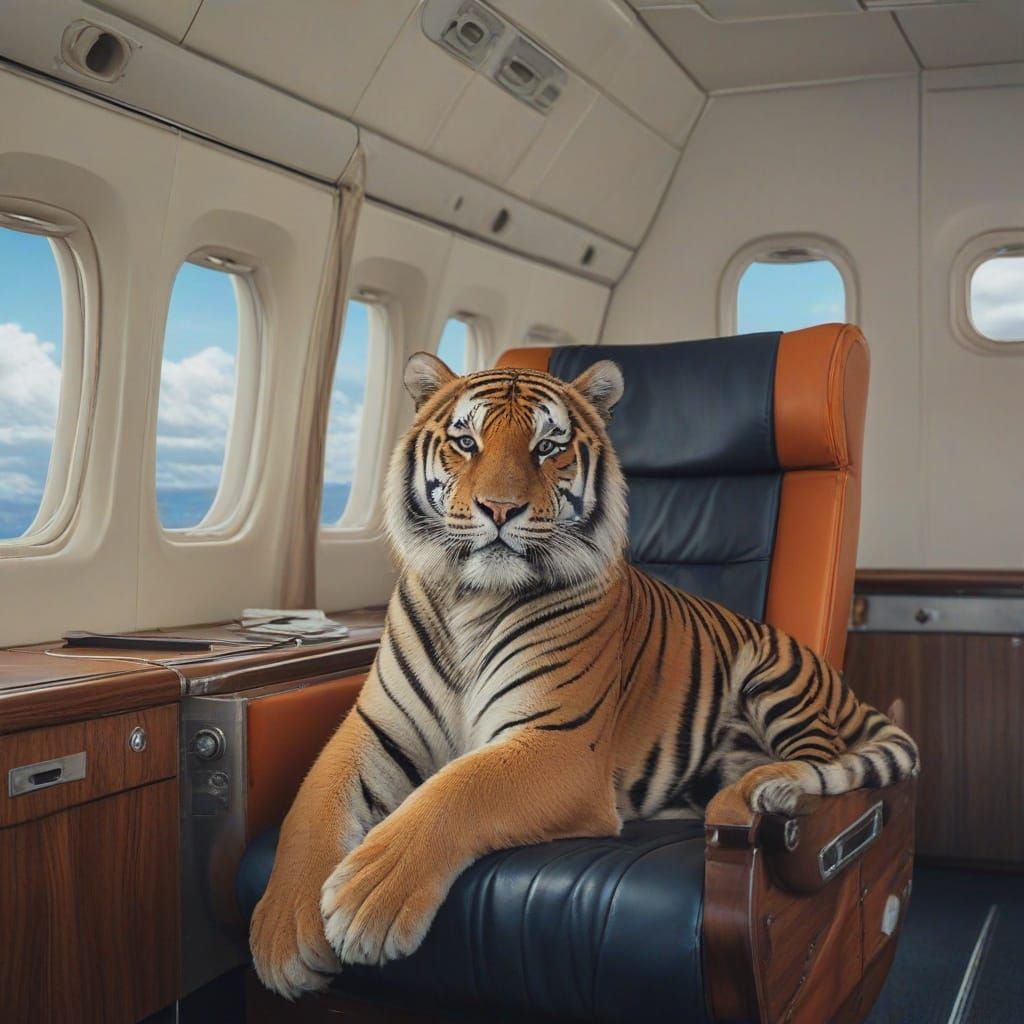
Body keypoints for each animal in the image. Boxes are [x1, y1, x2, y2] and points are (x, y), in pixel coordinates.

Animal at [250, 352, 920, 999]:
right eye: (466, 442)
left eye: (548, 446)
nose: (500, 509)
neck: (472, 599)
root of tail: (844, 688)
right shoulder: (375, 728)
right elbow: (311, 803)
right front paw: (283, 933)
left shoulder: (559, 742)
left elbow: (459, 789)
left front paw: (369, 898)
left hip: (773, 675)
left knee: (816, 765)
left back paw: (766, 793)